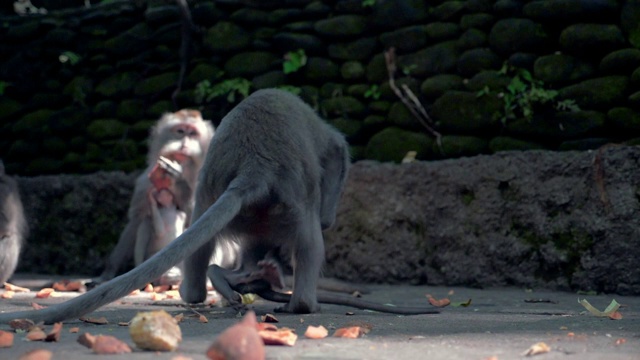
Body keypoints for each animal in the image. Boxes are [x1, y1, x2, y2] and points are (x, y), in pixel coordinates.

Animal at [95, 109, 215, 284]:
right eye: (180, 131)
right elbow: (135, 222)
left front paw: (177, 178)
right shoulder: (145, 183)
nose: (184, 144)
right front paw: (109, 271)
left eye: (193, 133)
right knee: (144, 223)